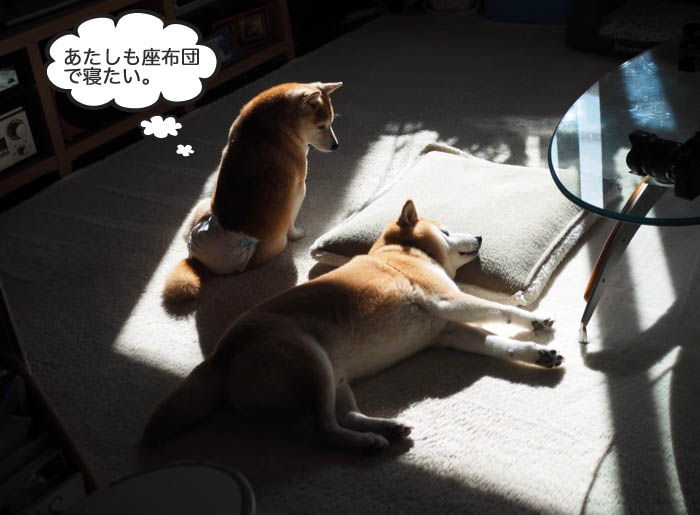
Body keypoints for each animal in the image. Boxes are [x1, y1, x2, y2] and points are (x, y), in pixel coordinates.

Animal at [145, 200, 562, 450]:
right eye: (445, 231)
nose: (478, 236)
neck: (404, 253)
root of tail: (222, 352)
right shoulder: (449, 301)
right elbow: (502, 311)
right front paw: (535, 320)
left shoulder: (449, 330)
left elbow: (500, 344)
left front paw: (537, 353)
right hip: (309, 357)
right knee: (322, 428)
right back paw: (364, 443)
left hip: (335, 375)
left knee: (338, 416)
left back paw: (383, 429)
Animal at [163, 81, 343, 304]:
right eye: (321, 126)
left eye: (330, 123)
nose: (336, 146)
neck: (276, 124)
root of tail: (198, 261)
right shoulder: (298, 189)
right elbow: (290, 221)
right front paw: (297, 233)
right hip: (275, 243)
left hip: (203, 205)